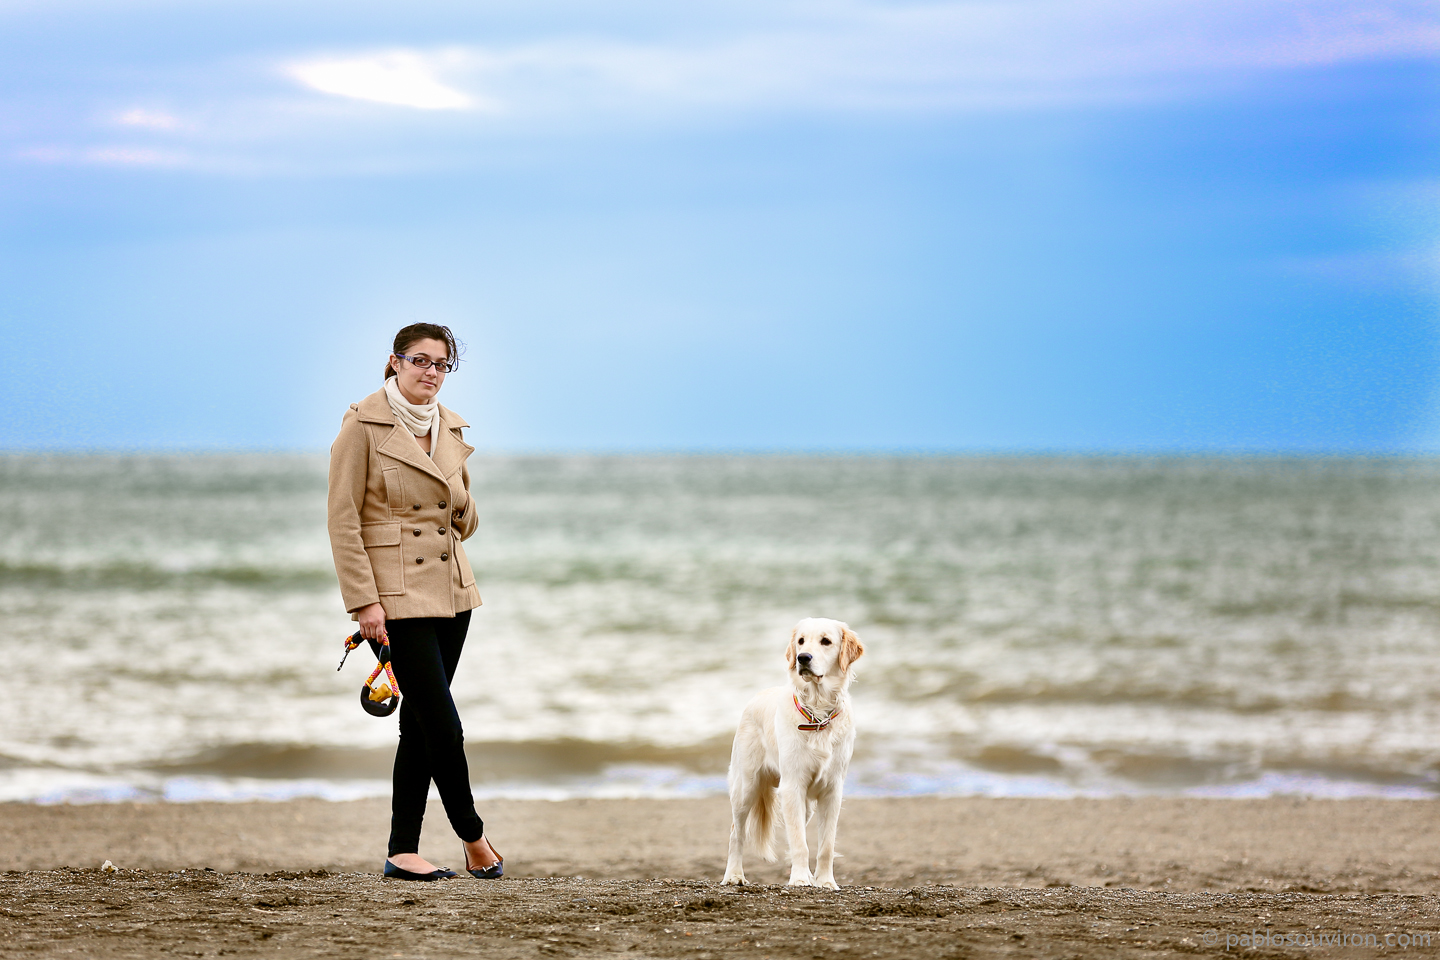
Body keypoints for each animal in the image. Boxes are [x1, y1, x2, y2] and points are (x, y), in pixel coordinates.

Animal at [725, 618, 858, 892]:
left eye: (826, 641)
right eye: (801, 641)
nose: (802, 657)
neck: (817, 716)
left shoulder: (832, 790)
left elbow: (825, 845)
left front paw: (825, 881)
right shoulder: (792, 786)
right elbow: (799, 842)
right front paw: (798, 879)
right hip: (746, 787)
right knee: (736, 832)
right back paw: (733, 875)